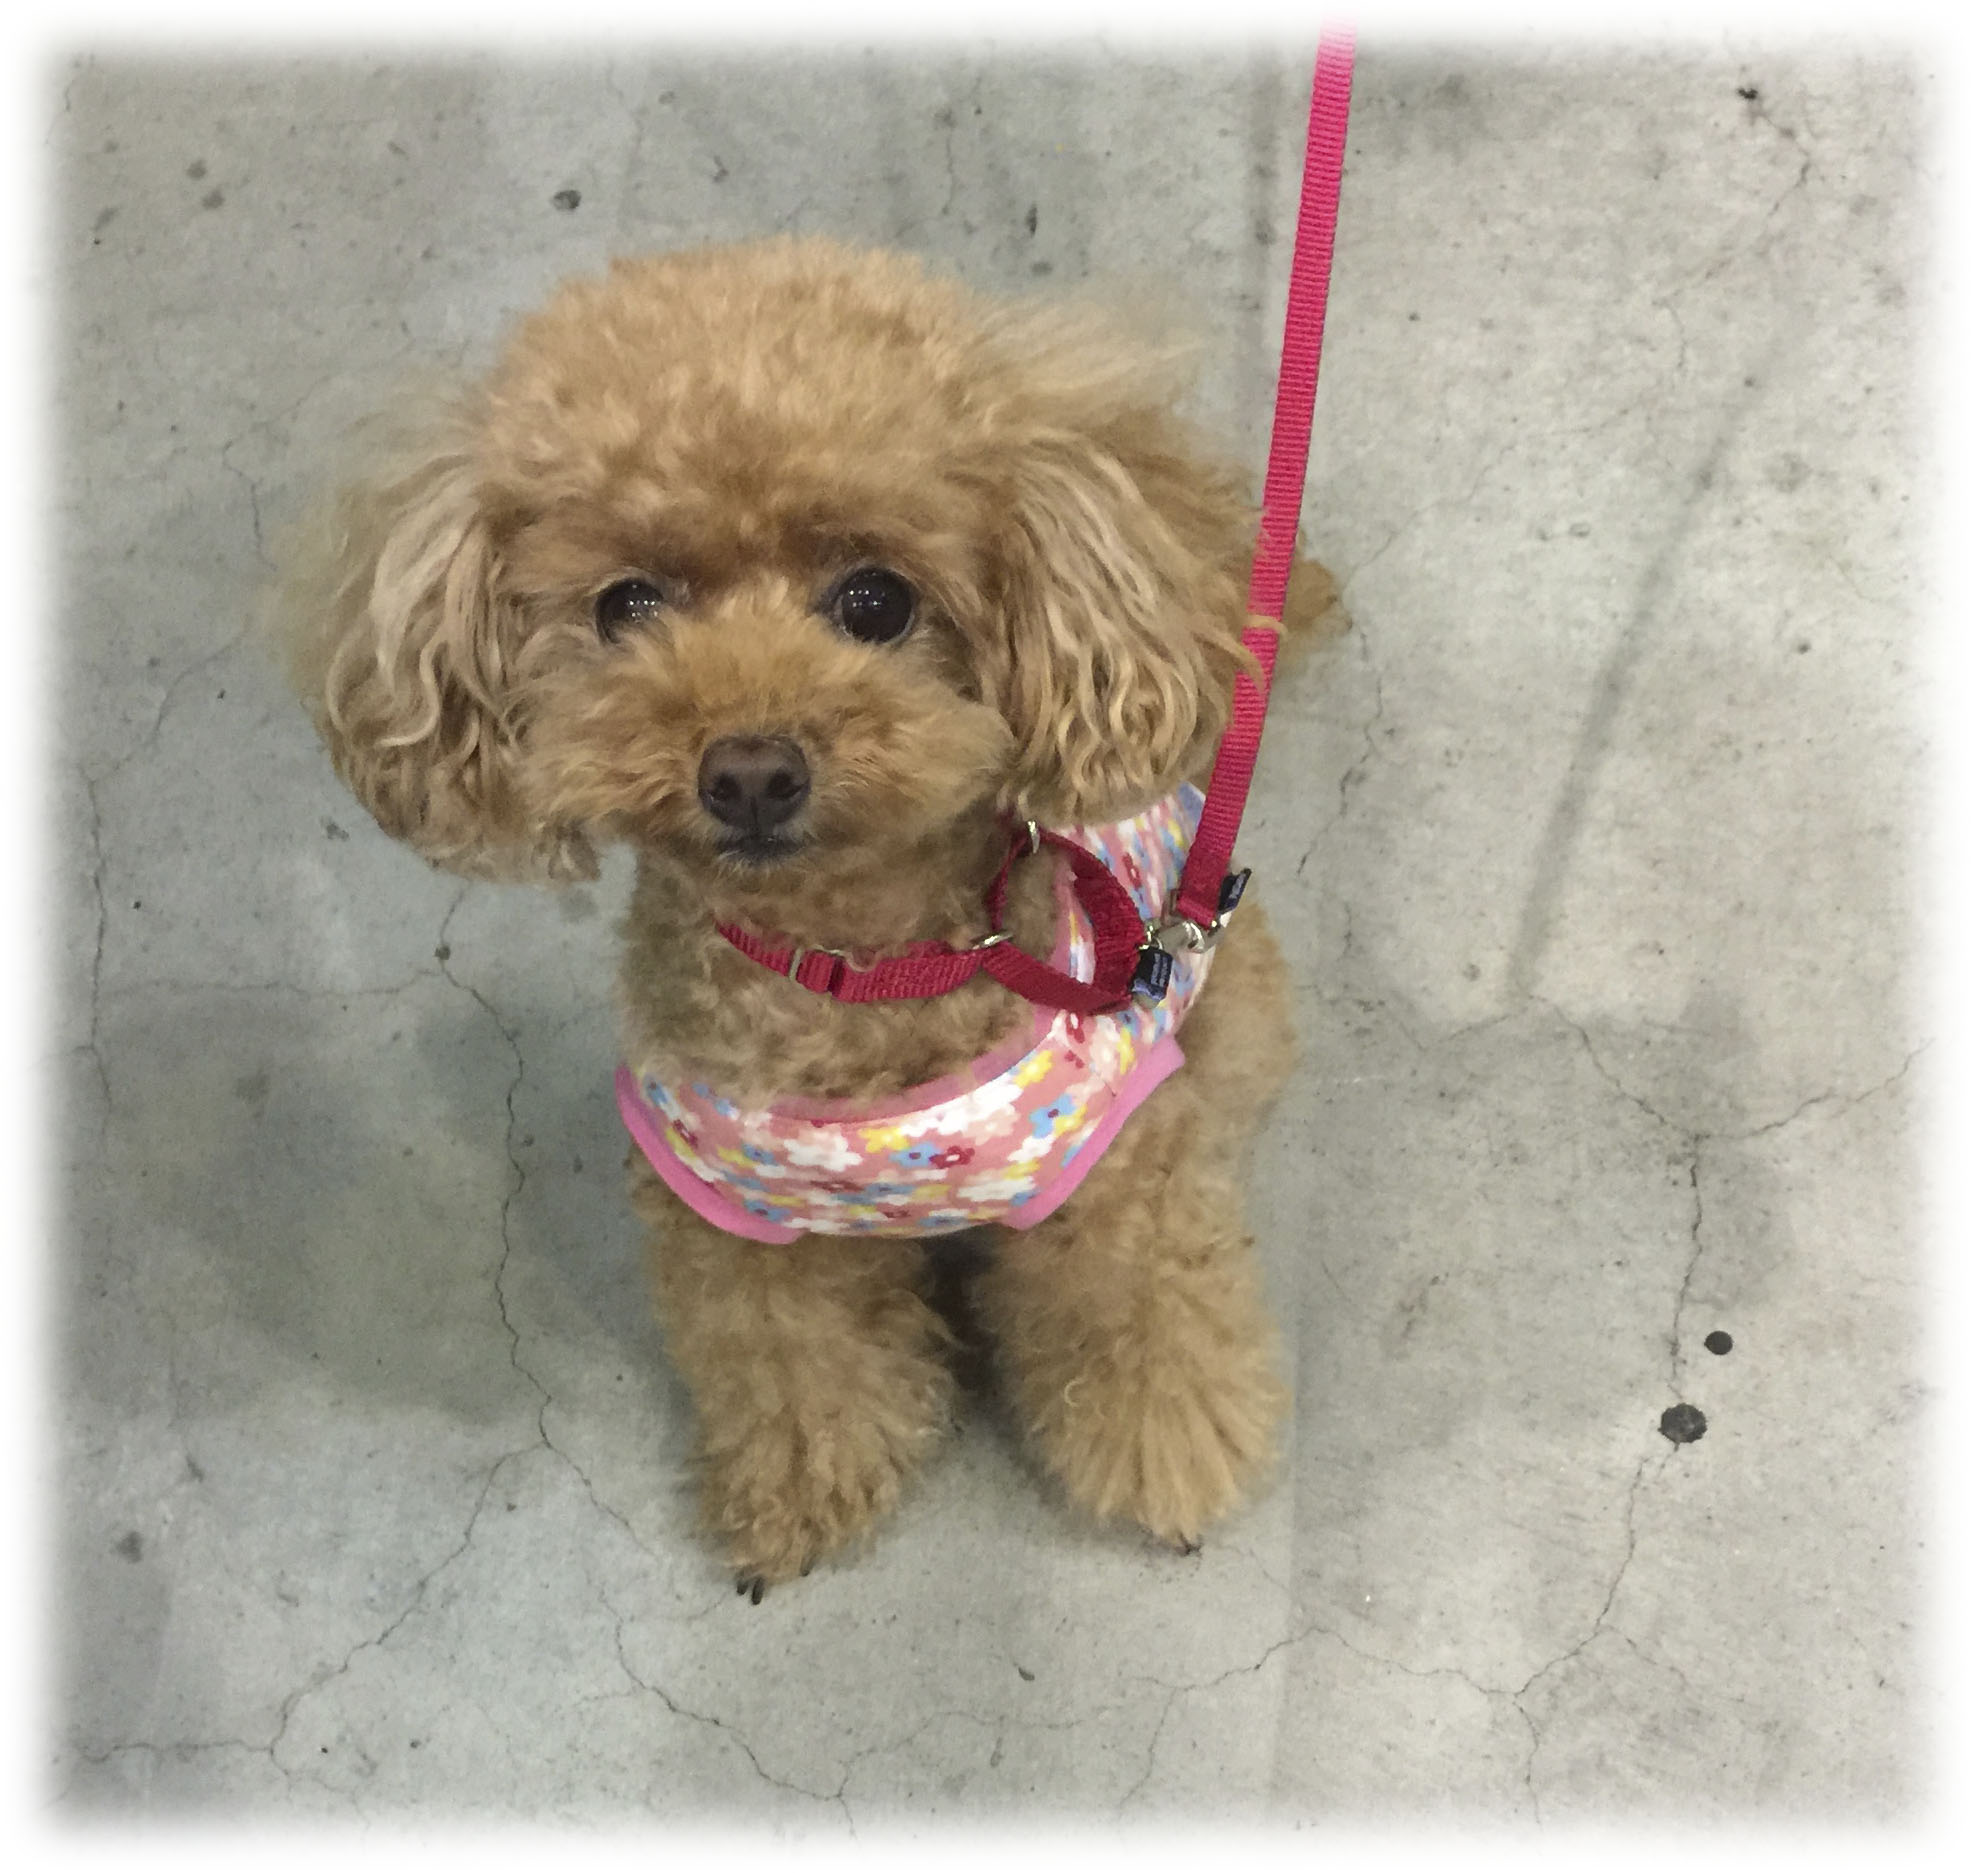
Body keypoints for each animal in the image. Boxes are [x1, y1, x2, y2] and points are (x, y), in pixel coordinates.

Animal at [284, 237, 1339, 1593]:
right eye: (626, 604)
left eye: (875, 600)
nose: (747, 772)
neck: (848, 976)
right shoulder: (741, 1231)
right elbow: (794, 1369)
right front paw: (799, 1492)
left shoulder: (1114, 1187)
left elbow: (1144, 1332)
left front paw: (1169, 1461)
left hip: (1231, 1010)